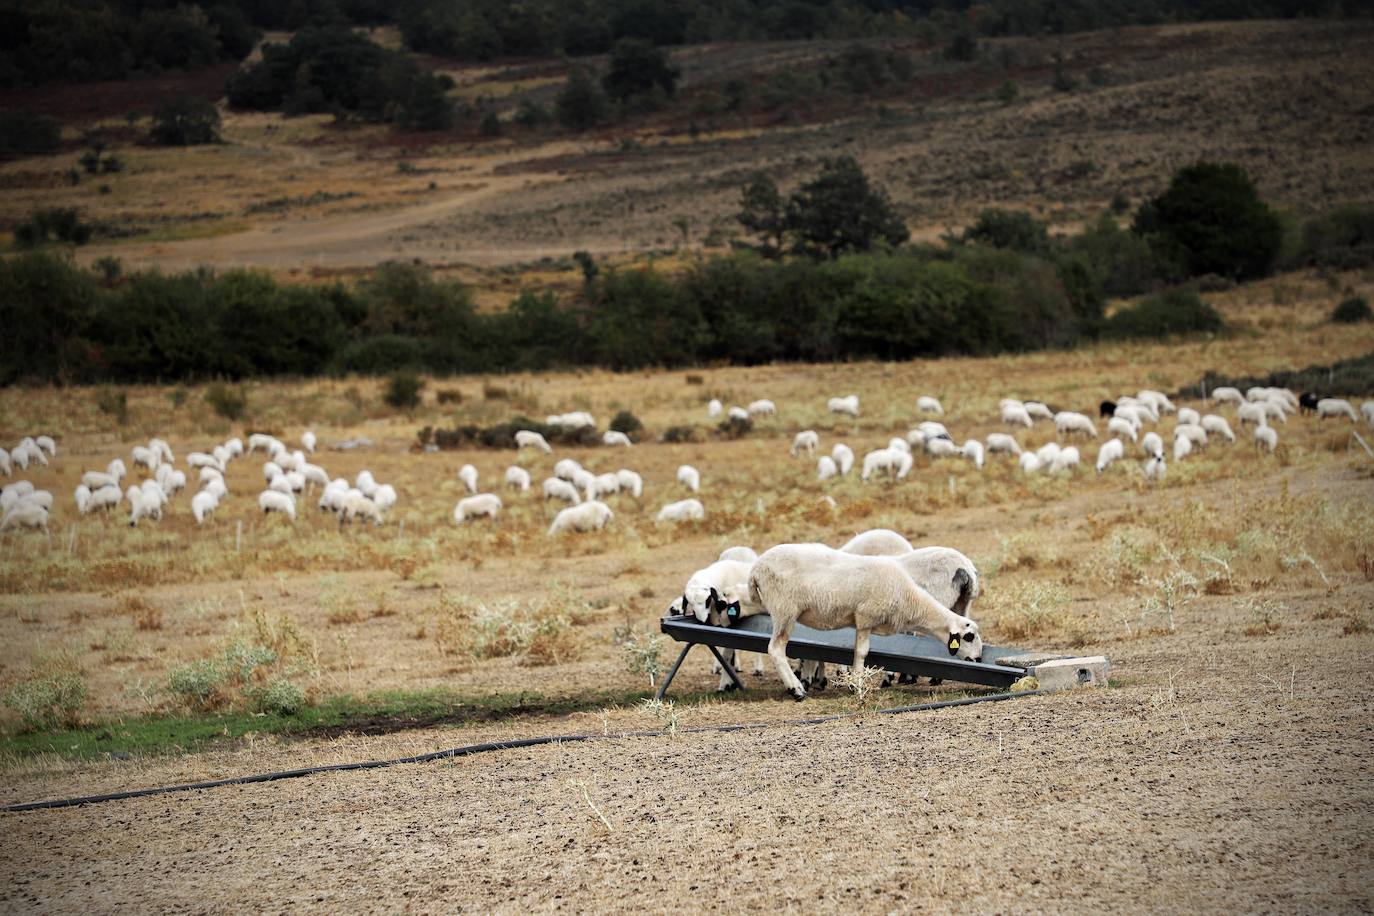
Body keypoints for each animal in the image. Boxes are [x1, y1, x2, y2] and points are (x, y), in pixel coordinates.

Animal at [747, 543, 983, 703]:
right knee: (776, 649)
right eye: (969, 636)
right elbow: (862, 653)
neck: (908, 599)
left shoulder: (862, 622)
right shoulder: (865, 617)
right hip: (784, 609)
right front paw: (858, 686)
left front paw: (854, 682)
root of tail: (756, 568)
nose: (978, 659)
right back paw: (796, 690)